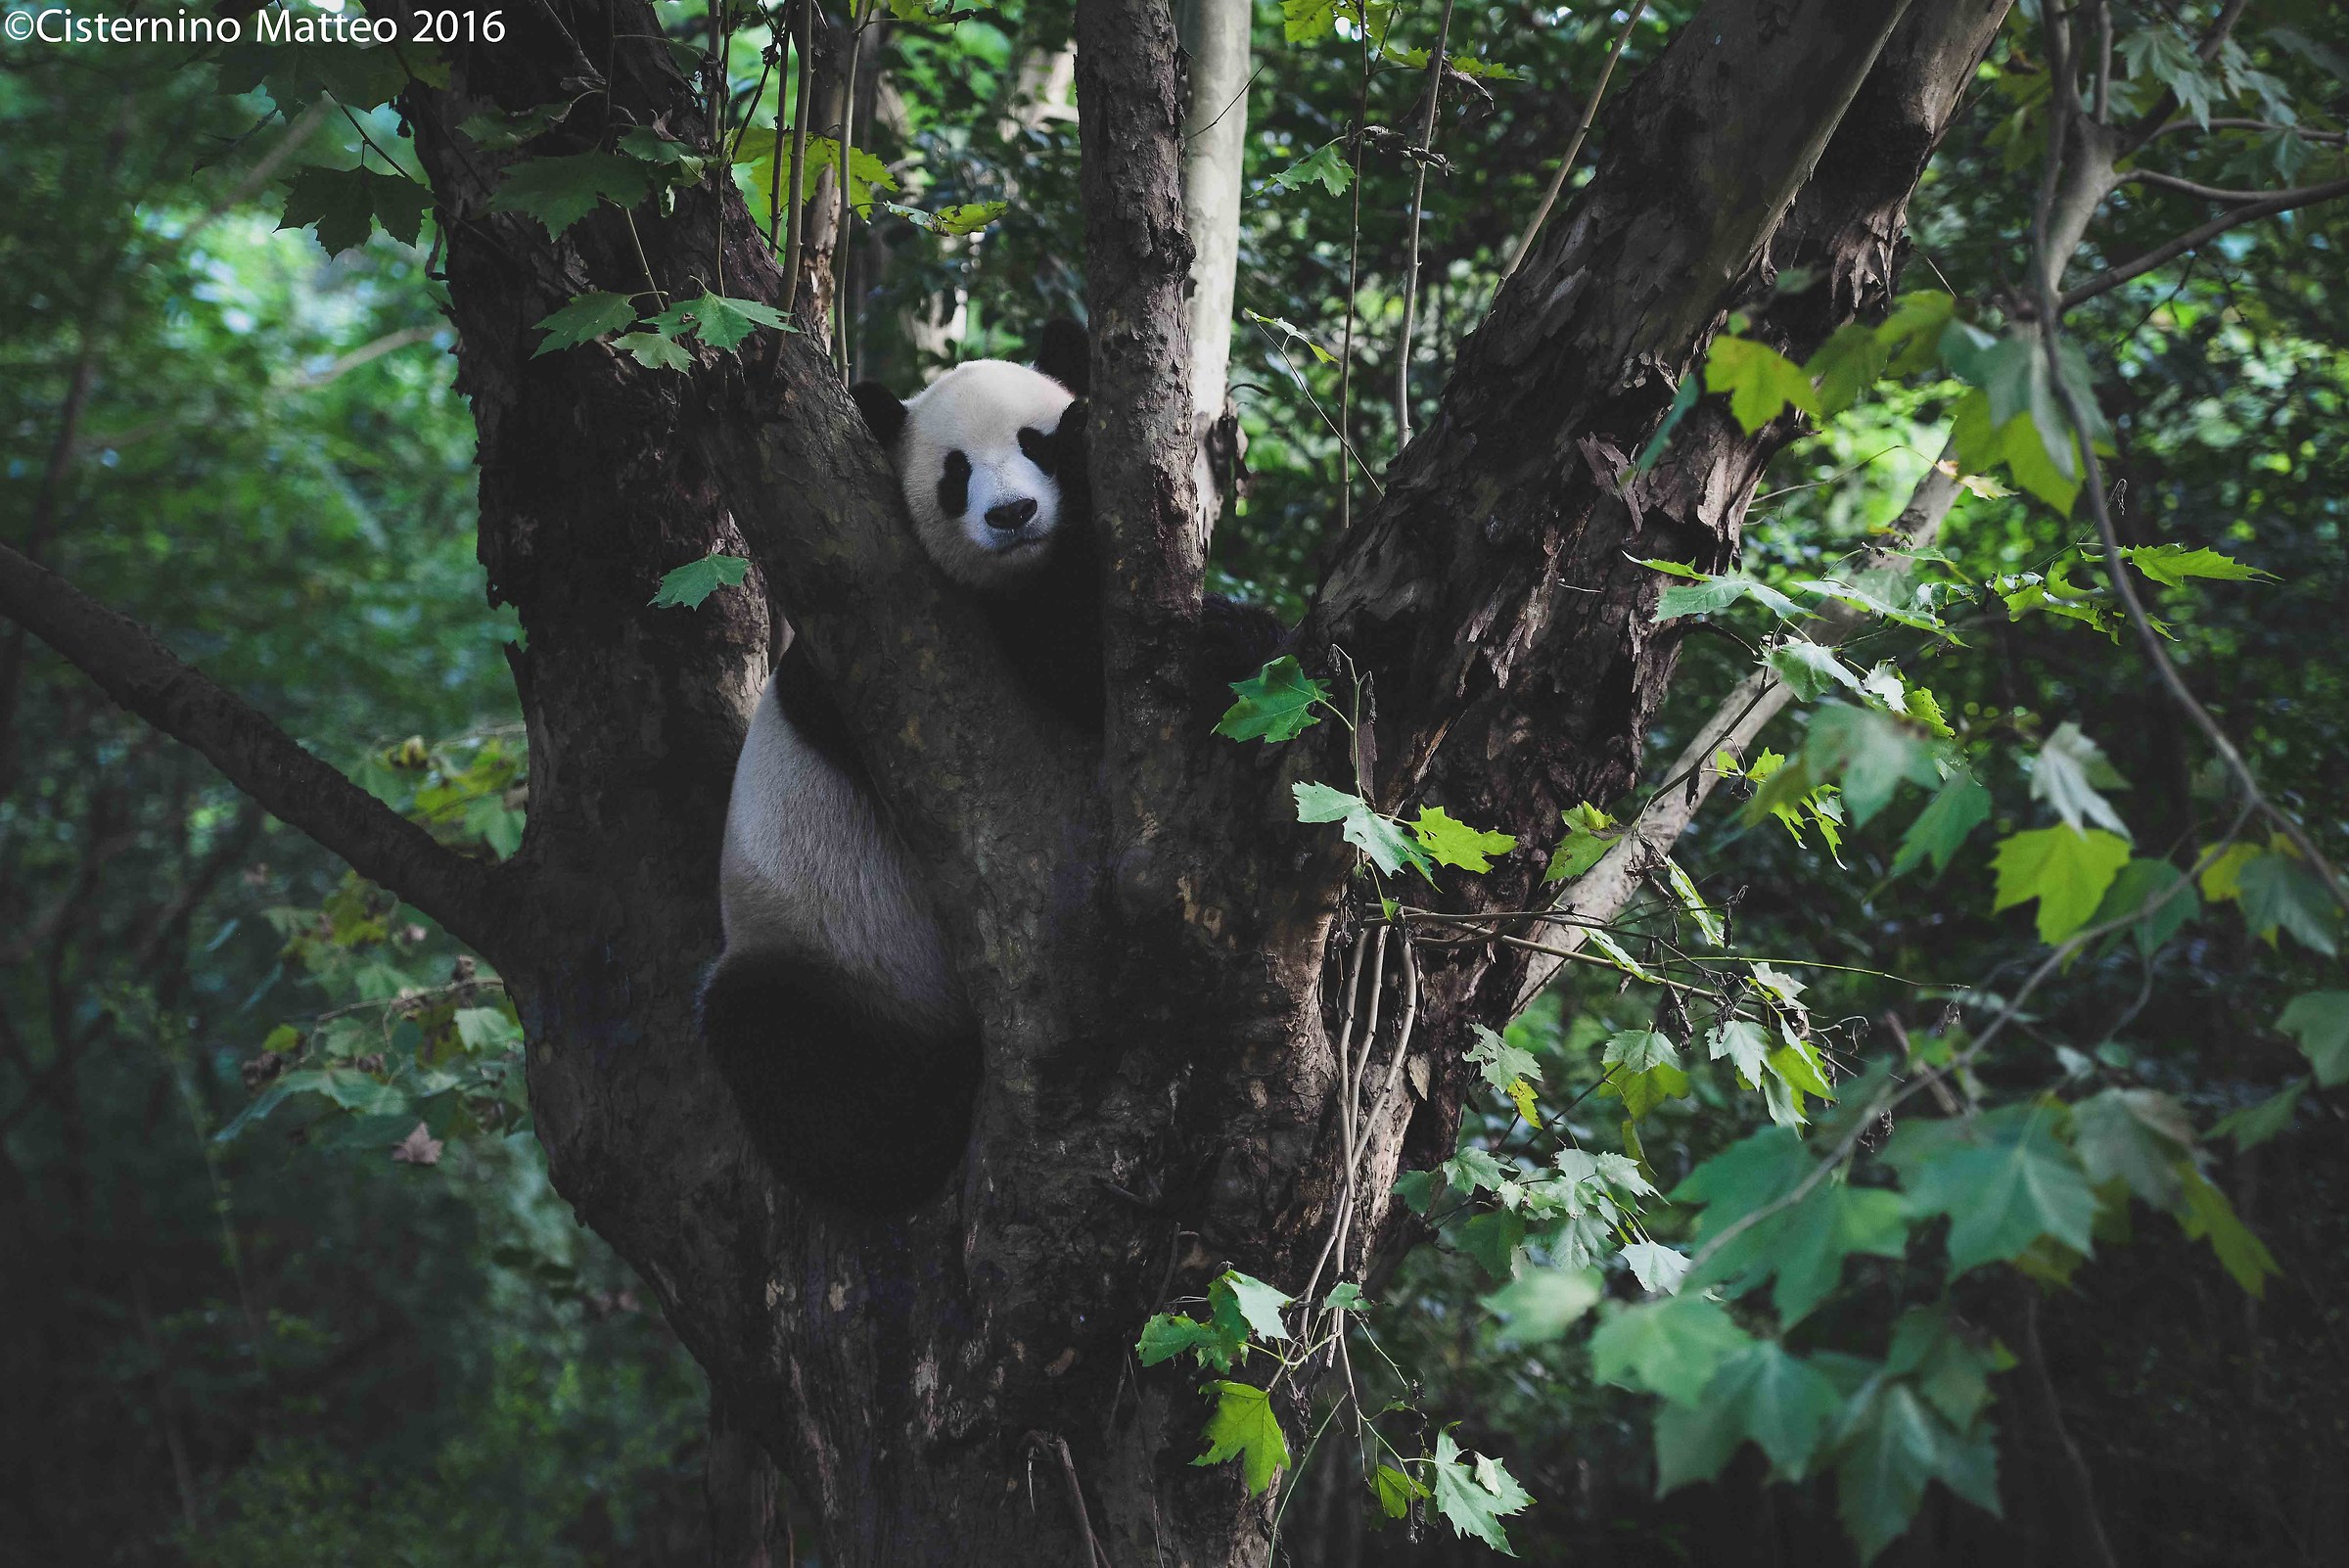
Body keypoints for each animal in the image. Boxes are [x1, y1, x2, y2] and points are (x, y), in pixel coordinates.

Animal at [698, 322, 1097, 1215]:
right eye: (955, 474)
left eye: (1035, 443)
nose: (1012, 514)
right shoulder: (866, 669)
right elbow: (1068, 660)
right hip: (829, 952)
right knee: (784, 1053)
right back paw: (935, 1106)